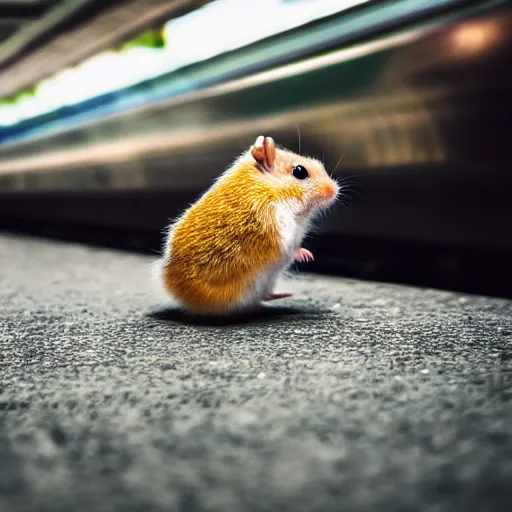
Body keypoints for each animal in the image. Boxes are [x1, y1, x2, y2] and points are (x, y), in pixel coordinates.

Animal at [158, 134, 338, 314]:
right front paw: (307, 255)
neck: (274, 189)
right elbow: (290, 249)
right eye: (300, 171)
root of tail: (171, 285)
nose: (335, 189)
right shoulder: (278, 232)